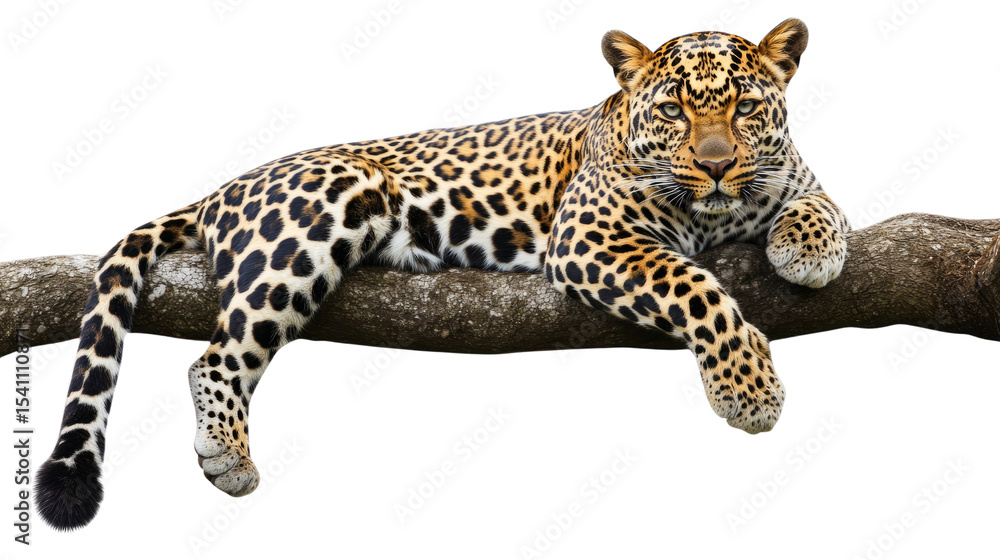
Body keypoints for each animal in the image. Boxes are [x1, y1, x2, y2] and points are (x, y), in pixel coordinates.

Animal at [35, 18, 850, 530]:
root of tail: (222, 189)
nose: (716, 165)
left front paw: (808, 247)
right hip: (326, 204)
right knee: (216, 358)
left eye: (746, 109)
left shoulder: (795, 180)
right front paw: (748, 389)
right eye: (675, 112)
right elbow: (697, 288)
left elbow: (823, 202)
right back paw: (229, 454)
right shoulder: (592, 235)